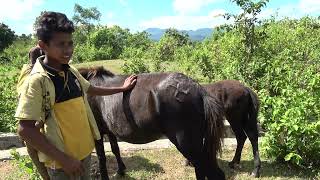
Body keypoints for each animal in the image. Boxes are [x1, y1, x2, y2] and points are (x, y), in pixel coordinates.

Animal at [79, 67, 225, 179]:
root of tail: (199, 91)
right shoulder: (109, 131)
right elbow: (115, 149)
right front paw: (121, 170)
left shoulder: (97, 132)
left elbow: (102, 157)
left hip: (188, 145)